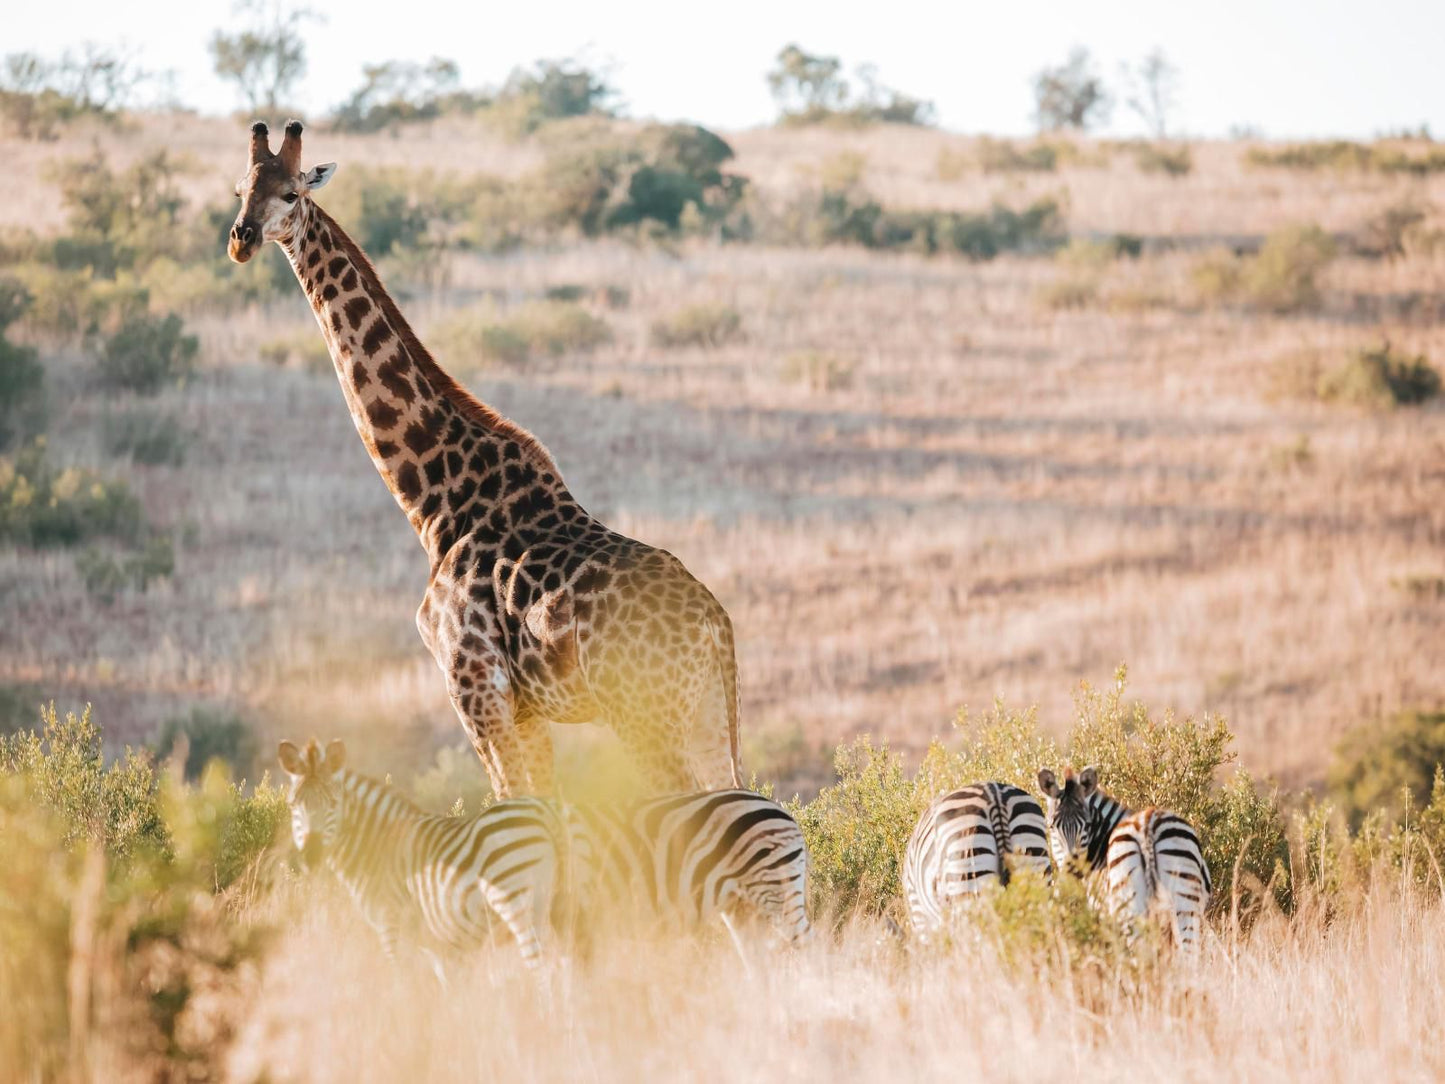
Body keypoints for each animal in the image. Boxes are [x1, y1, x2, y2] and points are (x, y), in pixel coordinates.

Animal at [228, 120, 745, 797]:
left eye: (291, 193)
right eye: (240, 189)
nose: (241, 240)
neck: (434, 501)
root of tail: (715, 625)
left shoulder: (474, 687)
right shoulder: (521, 706)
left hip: (646, 719)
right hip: (705, 717)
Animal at [275, 745, 580, 971]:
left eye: (333, 804)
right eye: (294, 805)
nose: (311, 854)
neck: (378, 842)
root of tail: (544, 812)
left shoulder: (392, 923)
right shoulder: (439, 942)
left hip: (517, 901)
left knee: (542, 963)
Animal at [1034, 768, 1213, 953]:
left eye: (1087, 825)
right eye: (1052, 827)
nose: (1072, 868)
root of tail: (1147, 826)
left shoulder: (1104, 914)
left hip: (1131, 907)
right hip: (1184, 903)